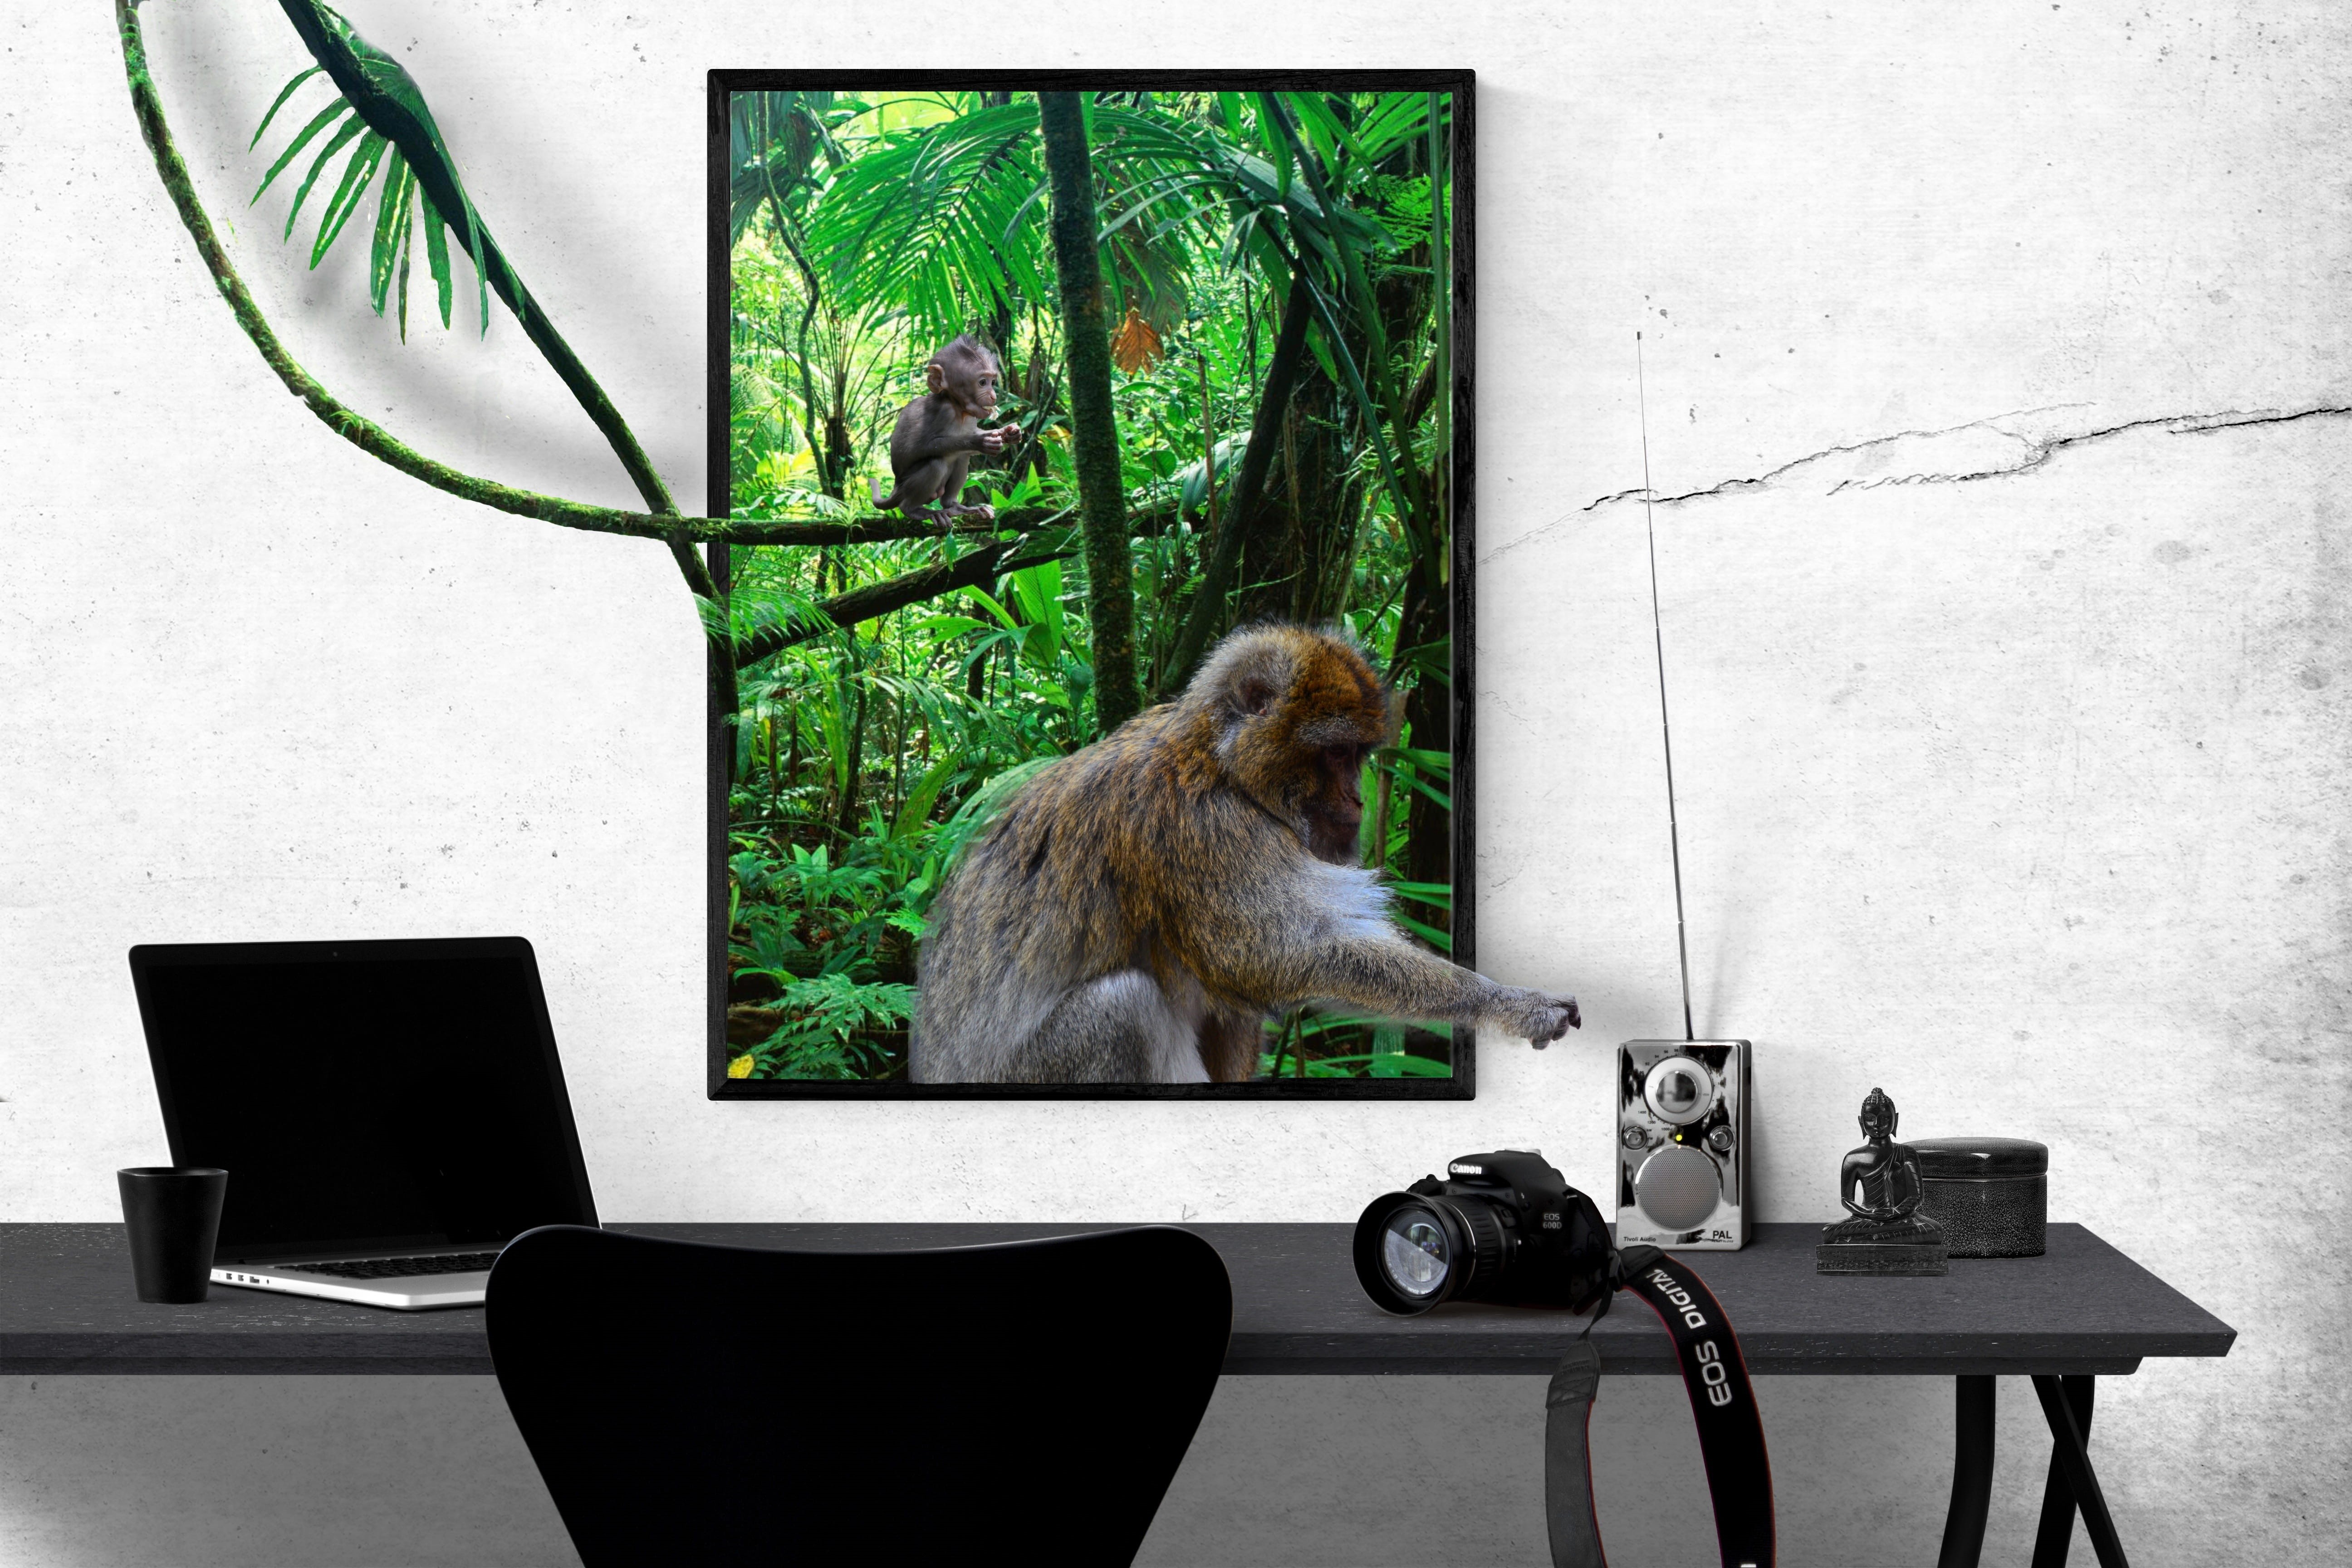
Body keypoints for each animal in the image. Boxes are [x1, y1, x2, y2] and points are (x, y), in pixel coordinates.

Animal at [876, 334, 1023, 525]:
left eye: (993, 382)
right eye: (983, 383)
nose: (993, 396)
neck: (959, 409)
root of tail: (897, 487)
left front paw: (1008, 433)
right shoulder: (943, 411)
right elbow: (917, 448)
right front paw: (981, 442)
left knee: (962, 457)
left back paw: (956, 506)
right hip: (907, 487)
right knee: (937, 464)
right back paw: (915, 510)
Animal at [909, 623, 1582, 1084]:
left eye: (1361, 756)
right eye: (1337, 754)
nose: (1358, 801)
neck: (1218, 762)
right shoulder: (1204, 832)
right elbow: (1273, 957)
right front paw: (1507, 1002)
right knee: (1123, 1008)